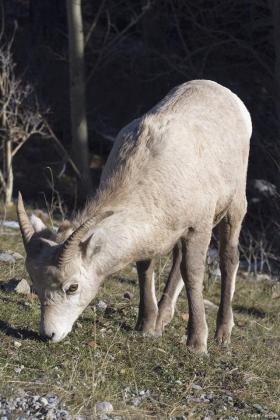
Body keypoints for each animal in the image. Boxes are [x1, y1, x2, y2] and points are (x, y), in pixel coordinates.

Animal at [17, 80, 252, 352]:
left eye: (72, 287)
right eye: (35, 284)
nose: (49, 334)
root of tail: (226, 93)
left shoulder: (198, 227)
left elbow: (193, 274)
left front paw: (197, 344)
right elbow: (145, 269)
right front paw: (147, 327)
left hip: (235, 207)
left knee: (228, 259)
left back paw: (222, 333)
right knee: (178, 260)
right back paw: (162, 320)